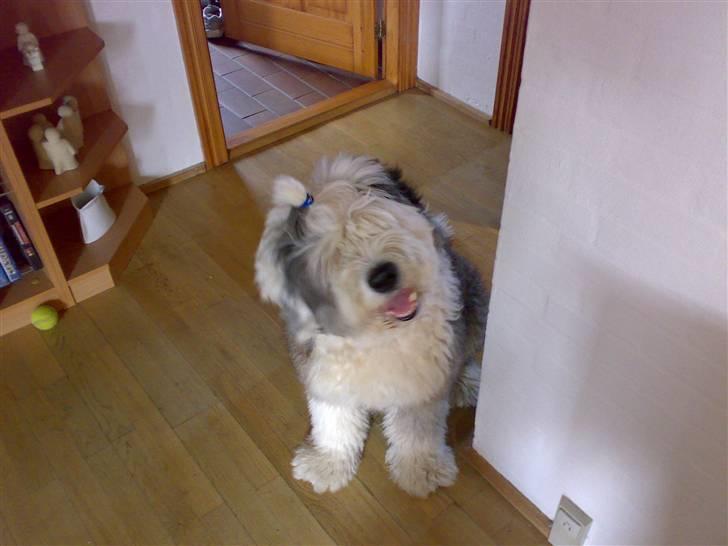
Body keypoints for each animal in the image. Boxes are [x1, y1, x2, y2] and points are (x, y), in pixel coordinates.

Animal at [256, 155, 490, 496]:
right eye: (334, 255)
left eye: (380, 221)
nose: (383, 276)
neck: (377, 332)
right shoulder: (325, 375)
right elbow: (333, 423)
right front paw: (328, 463)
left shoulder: (421, 381)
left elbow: (417, 428)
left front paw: (421, 469)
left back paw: (464, 383)